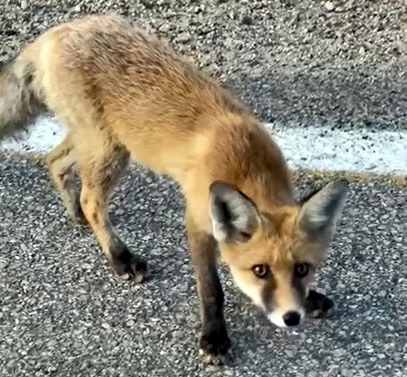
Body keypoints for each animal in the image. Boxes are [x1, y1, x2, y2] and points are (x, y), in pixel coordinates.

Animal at [0, 13, 350, 364]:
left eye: (302, 269)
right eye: (260, 271)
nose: (291, 317)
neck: (247, 164)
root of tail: (60, 29)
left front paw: (311, 298)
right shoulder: (197, 220)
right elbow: (211, 289)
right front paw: (214, 337)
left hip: (100, 141)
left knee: (54, 161)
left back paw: (75, 213)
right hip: (109, 149)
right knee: (90, 200)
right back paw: (119, 256)